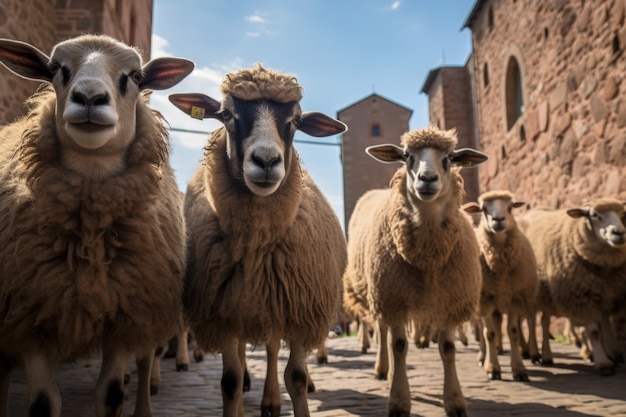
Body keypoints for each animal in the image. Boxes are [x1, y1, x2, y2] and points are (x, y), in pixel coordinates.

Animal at [0, 35, 193, 416]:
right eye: (56, 69)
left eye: (135, 76)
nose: (89, 98)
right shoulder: (30, 311)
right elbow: (43, 401)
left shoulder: (126, 314)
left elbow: (112, 394)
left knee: (146, 358)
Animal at [166, 62, 346, 416]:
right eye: (226, 114)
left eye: (295, 120)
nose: (266, 161)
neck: (256, 246)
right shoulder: (222, 312)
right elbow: (230, 381)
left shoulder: (297, 305)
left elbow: (296, 378)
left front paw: (294, 390)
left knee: (274, 349)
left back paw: (272, 401)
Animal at [342, 126, 488, 416]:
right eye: (407, 156)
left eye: (449, 157)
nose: (427, 179)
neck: (427, 256)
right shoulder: (394, 298)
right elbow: (399, 346)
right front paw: (399, 400)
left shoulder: (449, 299)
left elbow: (448, 348)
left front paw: (455, 400)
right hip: (380, 290)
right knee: (383, 331)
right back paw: (382, 369)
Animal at [460, 190, 540, 378]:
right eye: (483, 209)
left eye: (510, 207)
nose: (498, 219)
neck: (500, 266)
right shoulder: (485, 299)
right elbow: (488, 333)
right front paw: (492, 367)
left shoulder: (514, 297)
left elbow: (513, 332)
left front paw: (518, 369)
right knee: (482, 329)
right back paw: (483, 356)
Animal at [520, 197, 624, 374]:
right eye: (594, 215)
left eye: (622, 213)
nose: (619, 233)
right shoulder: (581, 296)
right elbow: (594, 331)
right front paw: (602, 362)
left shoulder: (605, 294)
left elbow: (605, 327)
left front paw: (613, 354)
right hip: (531, 293)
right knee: (531, 322)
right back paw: (534, 354)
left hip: (547, 294)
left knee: (544, 322)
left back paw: (546, 356)